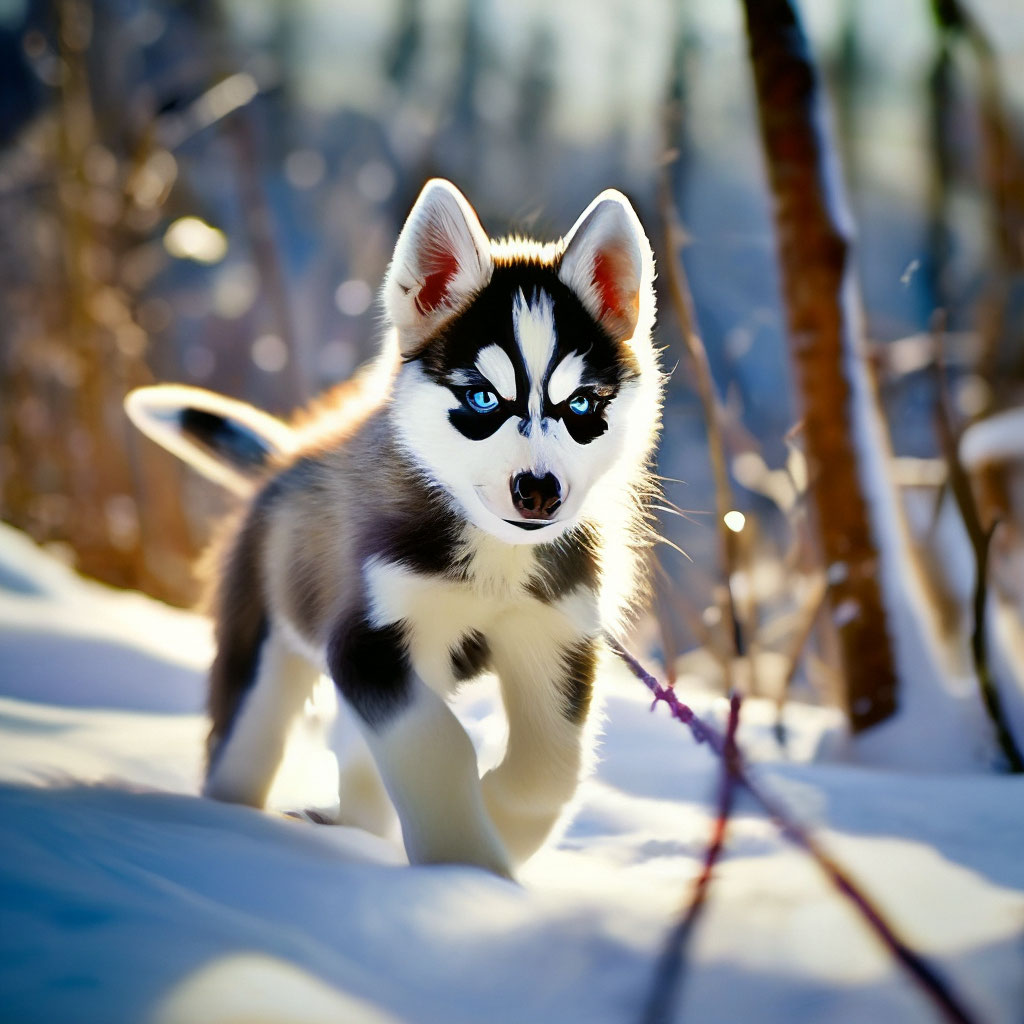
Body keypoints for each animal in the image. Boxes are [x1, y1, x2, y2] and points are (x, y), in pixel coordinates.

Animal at [128, 182, 659, 872]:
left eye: (582, 405)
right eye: (483, 398)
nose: (539, 491)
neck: (496, 557)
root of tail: (288, 457)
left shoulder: (556, 632)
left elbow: (552, 767)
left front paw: (502, 832)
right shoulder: (369, 642)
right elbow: (437, 747)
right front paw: (467, 865)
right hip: (267, 643)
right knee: (245, 745)